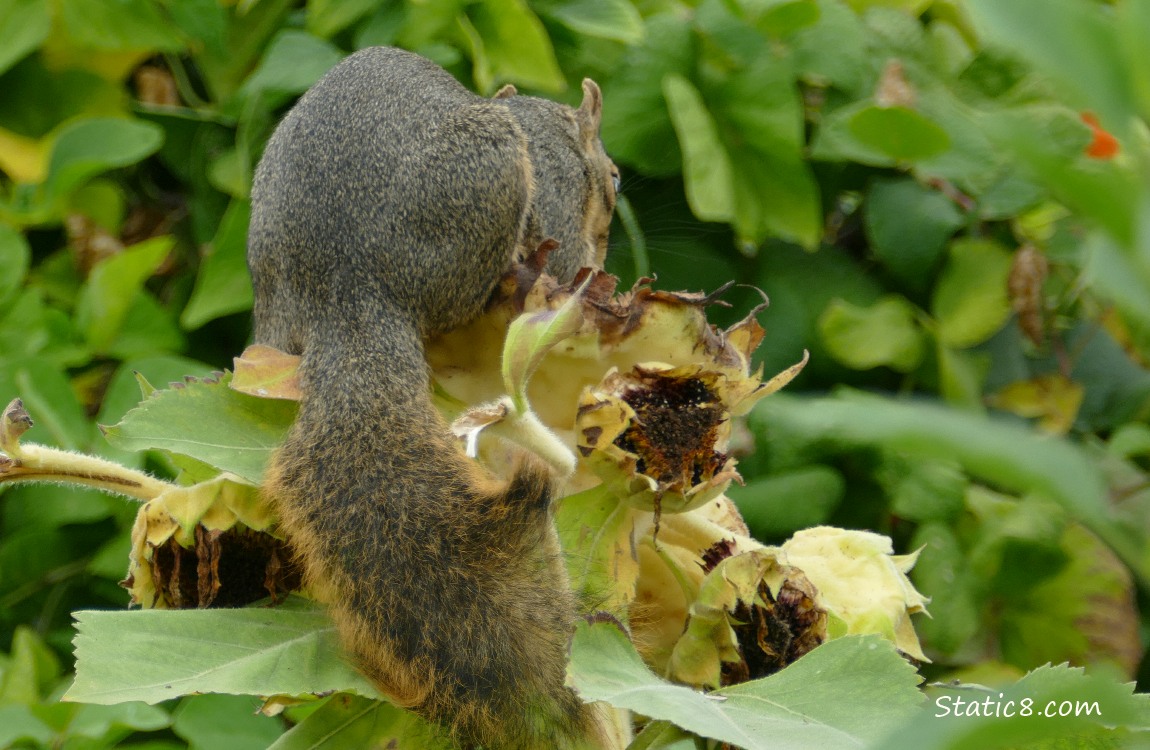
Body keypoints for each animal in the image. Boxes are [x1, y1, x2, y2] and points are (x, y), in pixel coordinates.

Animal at [246, 47, 619, 748]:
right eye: (615, 177)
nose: (609, 245)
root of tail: (348, 291)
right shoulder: (553, 181)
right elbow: (563, 243)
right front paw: (590, 275)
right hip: (484, 178)